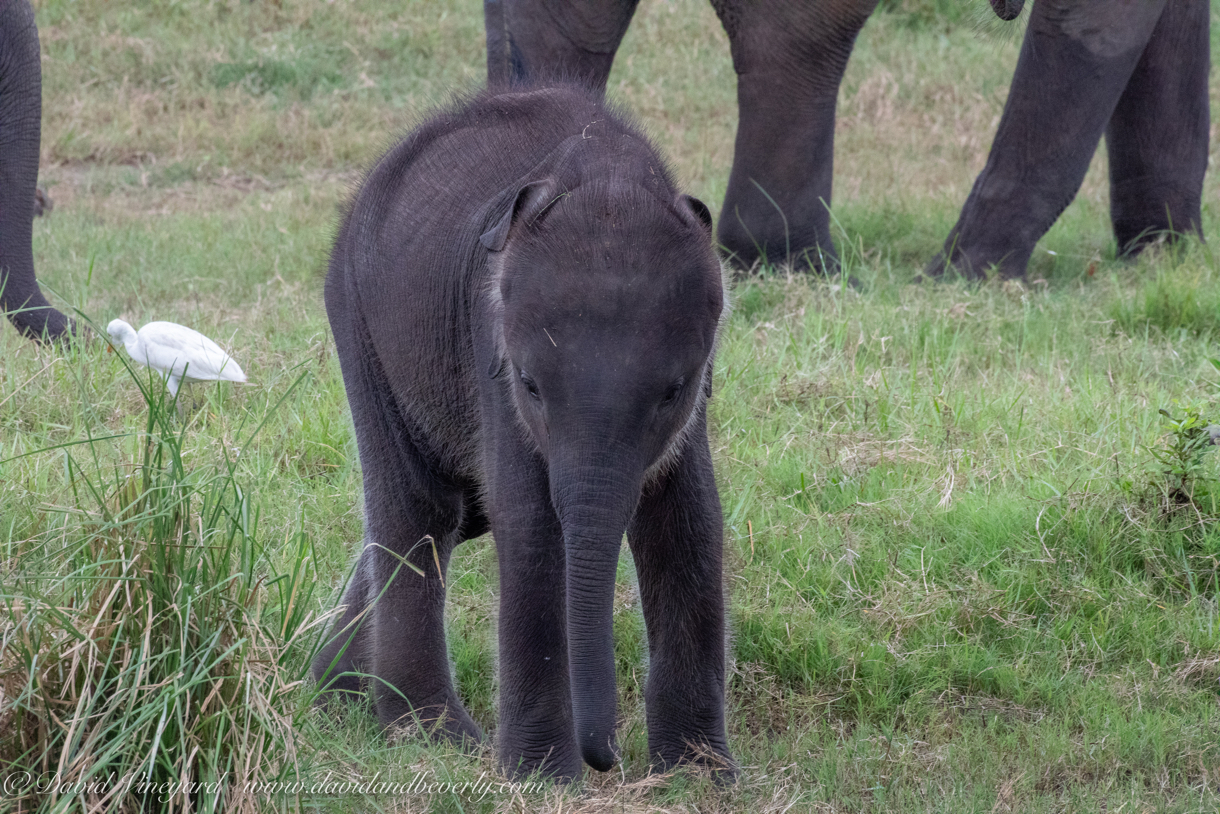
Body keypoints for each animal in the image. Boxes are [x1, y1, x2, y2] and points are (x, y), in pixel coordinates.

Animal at [317, 84, 732, 781]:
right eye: (531, 385)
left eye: (673, 391)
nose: (607, 760)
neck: (608, 174)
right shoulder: (491, 343)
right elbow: (531, 521)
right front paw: (541, 778)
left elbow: (689, 517)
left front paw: (701, 776)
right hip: (359, 317)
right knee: (420, 512)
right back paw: (431, 735)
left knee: (459, 515)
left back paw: (334, 695)